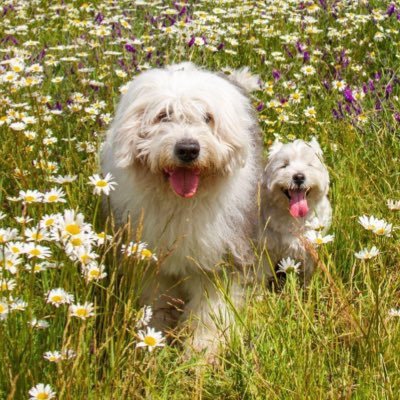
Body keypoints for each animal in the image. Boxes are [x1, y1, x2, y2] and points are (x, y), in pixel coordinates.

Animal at [101, 61, 260, 354]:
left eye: (207, 117)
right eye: (163, 116)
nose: (188, 149)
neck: (180, 204)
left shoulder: (219, 257)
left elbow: (211, 310)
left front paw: (203, 351)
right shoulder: (150, 260)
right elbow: (156, 301)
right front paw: (154, 340)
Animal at [260, 139, 332, 282]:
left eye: (309, 165)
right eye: (284, 165)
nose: (299, 177)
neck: (294, 218)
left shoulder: (309, 251)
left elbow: (307, 278)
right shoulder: (267, 249)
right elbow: (262, 275)